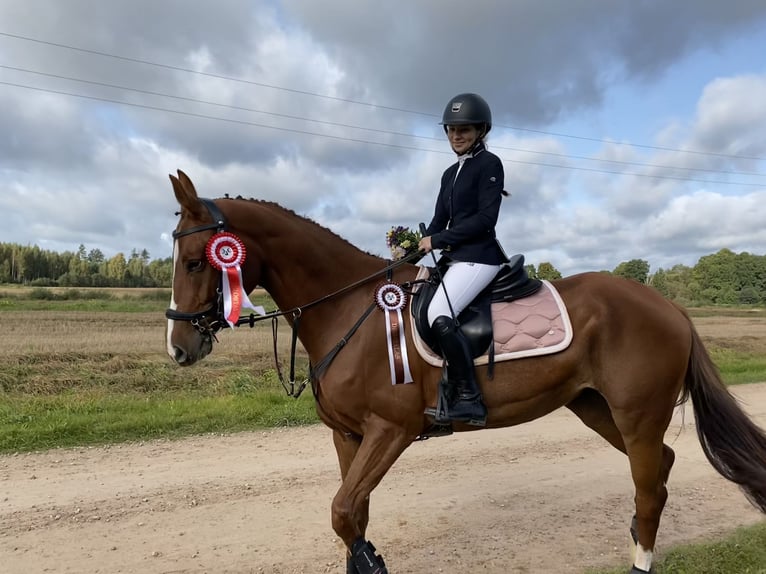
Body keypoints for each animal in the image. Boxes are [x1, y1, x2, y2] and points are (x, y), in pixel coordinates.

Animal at [166, 172, 766, 574]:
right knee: (658, 468)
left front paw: (373, 562)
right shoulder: (348, 435)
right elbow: (353, 515)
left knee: (648, 485)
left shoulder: (391, 431)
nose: (179, 349)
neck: (348, 308)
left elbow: (341, 512)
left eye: (197, 262)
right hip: (596, 407)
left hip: (637, 413)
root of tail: (670, 307)